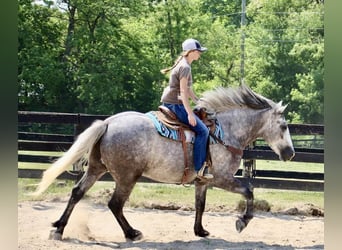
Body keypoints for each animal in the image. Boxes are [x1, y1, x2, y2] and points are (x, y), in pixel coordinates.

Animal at [34, 84, 294, 242]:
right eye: (283, 126)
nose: (290, 153)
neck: (225, 132)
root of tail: (108, 123)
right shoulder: (222, 178)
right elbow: (249, 191)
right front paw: (242, 221)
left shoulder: (203, 181)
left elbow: (200, 205)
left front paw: (200, 231)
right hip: (127, 177)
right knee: (115, 204)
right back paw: (132, 233)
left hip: (98, 168)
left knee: (77, 192)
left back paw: (59, 228)